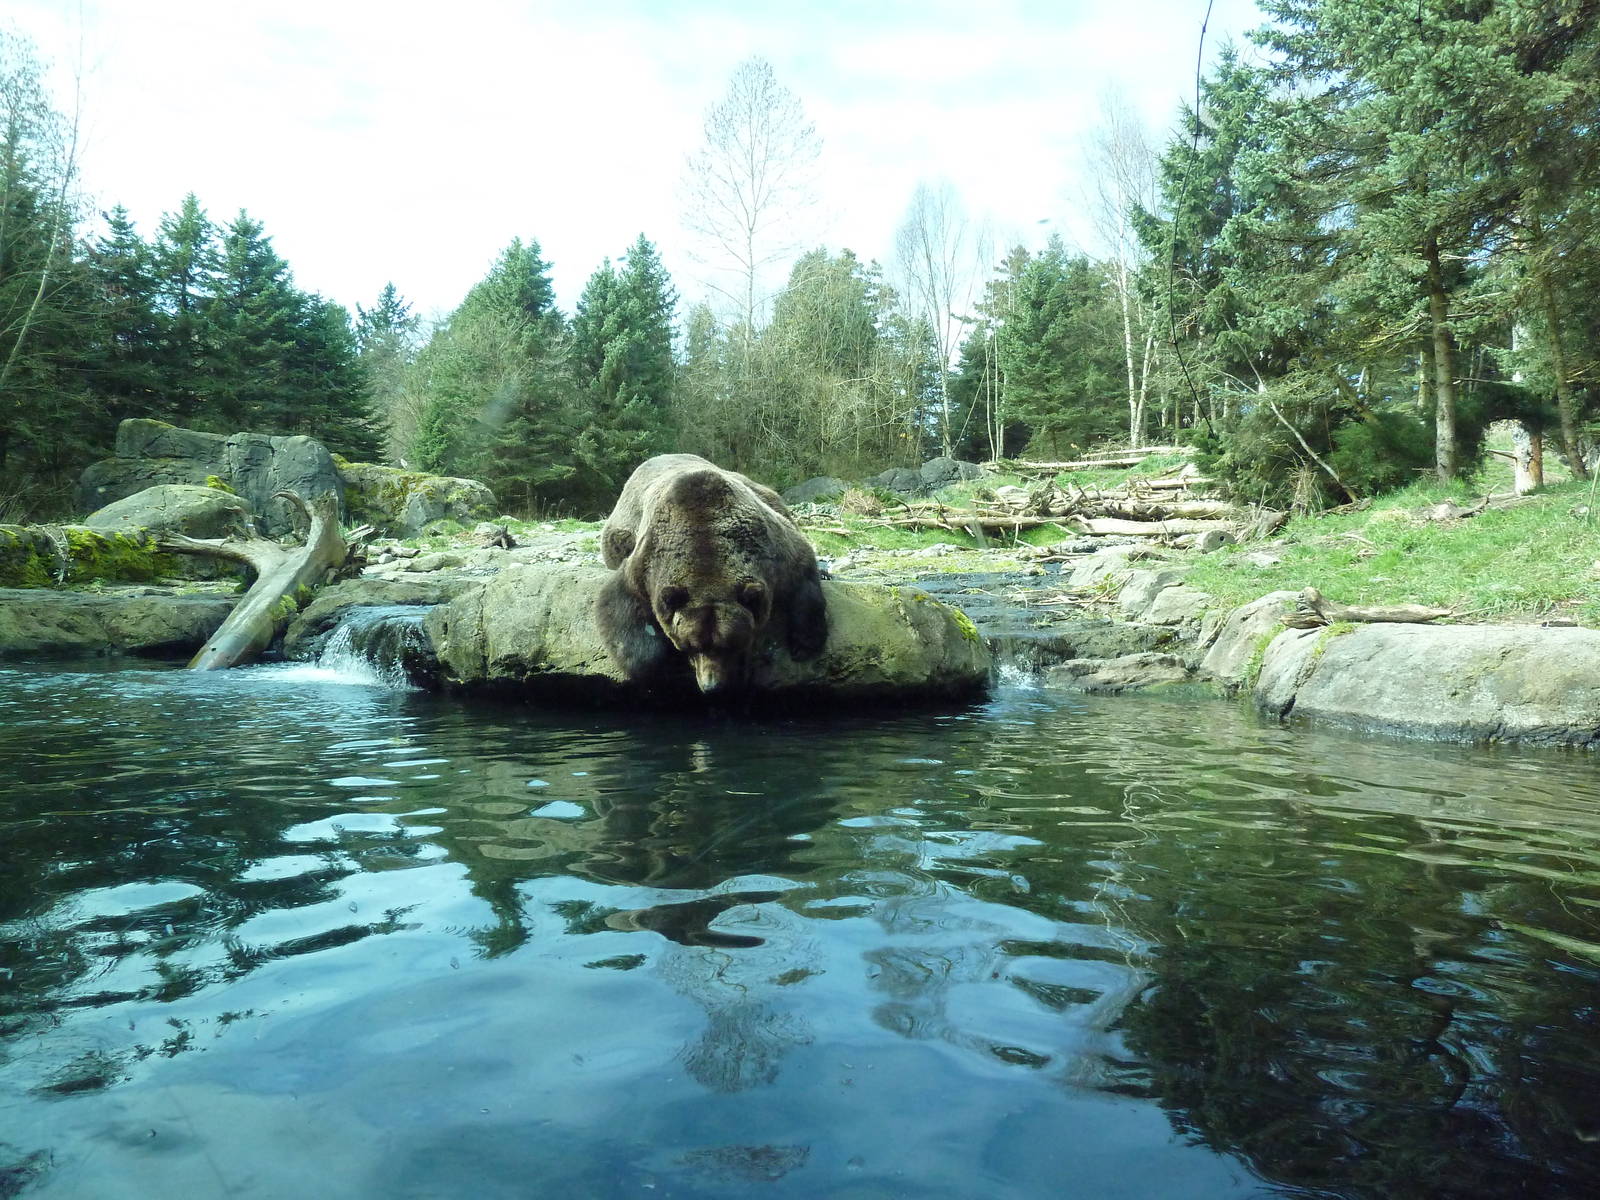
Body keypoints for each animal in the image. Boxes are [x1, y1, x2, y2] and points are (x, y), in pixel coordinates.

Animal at [594, 453, 828, 694]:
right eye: (690, 646)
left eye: (730, 644)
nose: (712, 686)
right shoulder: (644, 564)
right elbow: (621, 607)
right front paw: (661, 671)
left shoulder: (775, 550)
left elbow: (803, 571)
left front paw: (804, 644)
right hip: (620, 531)